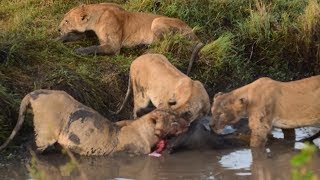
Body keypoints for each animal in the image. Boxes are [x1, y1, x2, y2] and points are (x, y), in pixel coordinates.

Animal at [0, 89, 188, 155]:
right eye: (173, 121)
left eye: (175, 114)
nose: (187, 124)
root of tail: (34, 93)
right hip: (45, 133)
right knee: (31, 148)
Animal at [57, 2, 202, 74]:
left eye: (66, 21)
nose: (58, 29)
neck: (96, 18)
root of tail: (194, 33)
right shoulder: (88, 32)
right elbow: (72, 35)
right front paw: (57, 40)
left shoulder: (114, 46)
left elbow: (94, 47)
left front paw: (79, 51)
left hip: (158, 21)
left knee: (166, 45)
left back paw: (143, 49)